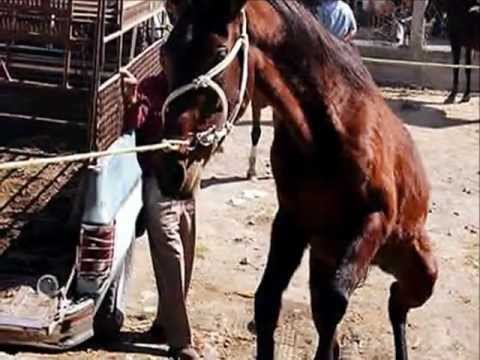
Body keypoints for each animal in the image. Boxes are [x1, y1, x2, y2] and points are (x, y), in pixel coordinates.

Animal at [158, 0, 438, 358]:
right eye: (166, 52)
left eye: (218, 52)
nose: (172, 170)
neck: (323, 135)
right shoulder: (292, 221)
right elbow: (267, 302)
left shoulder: (376, 219)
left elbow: (334, 304)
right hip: (324, 258)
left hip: (421, 272)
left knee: (396, 303)